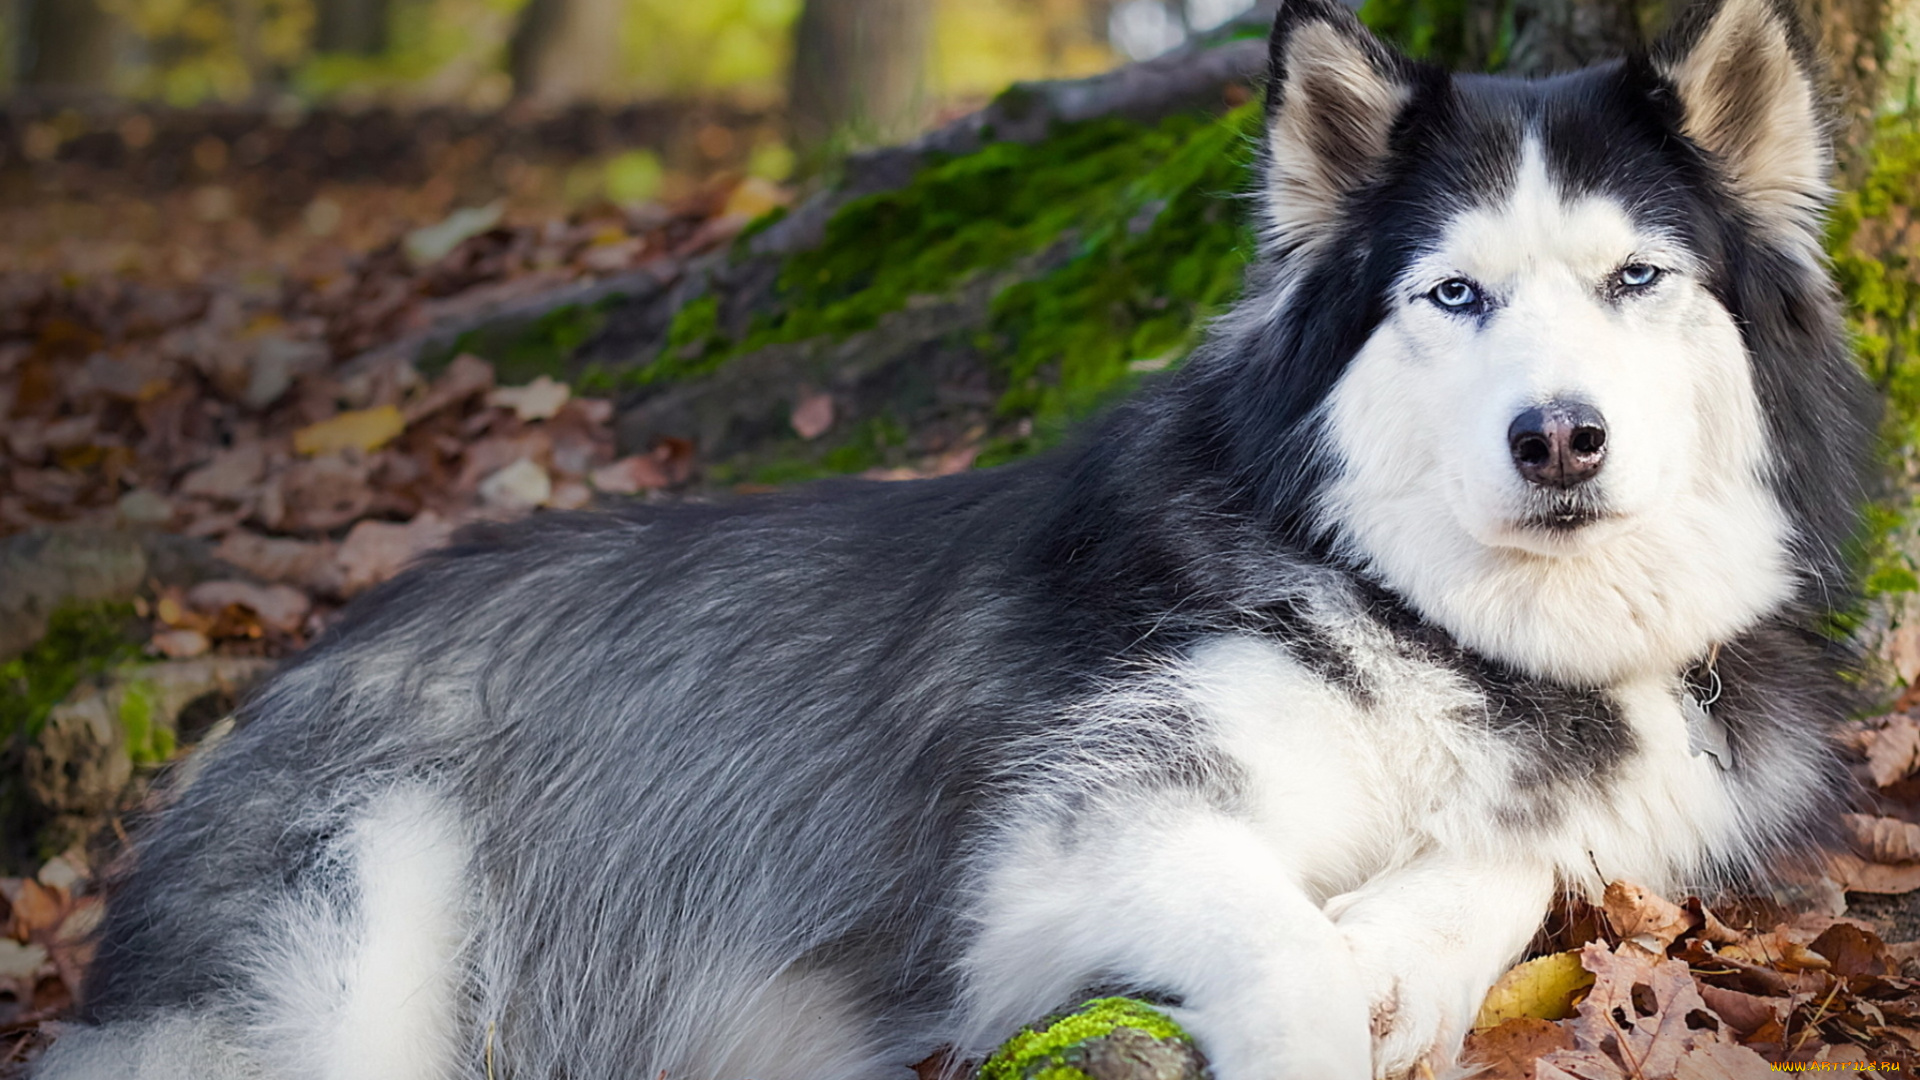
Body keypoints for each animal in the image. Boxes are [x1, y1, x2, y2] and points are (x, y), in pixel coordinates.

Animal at [37, 0, 1881, 1068]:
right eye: (1455, 296)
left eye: (1637, 277)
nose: (1558, 436)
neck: (1453, 630)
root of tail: (296, 665)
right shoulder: (1058, 846)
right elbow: (1282, 961)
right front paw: (1338, 973)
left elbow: (1516, 863)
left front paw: (1406, 950)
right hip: (340, 960)